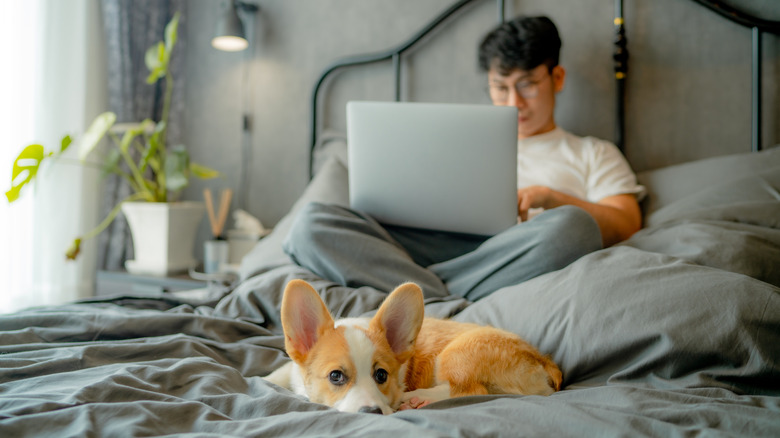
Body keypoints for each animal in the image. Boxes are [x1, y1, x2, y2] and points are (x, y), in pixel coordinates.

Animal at [266, 280, 564, 414]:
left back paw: (418, 398)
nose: (373, 412)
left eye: (381, 375)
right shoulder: (291, 370)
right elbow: (275, 376)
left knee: (469, 389)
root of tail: (541, 359)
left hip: (455, 354)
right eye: (335, 376)